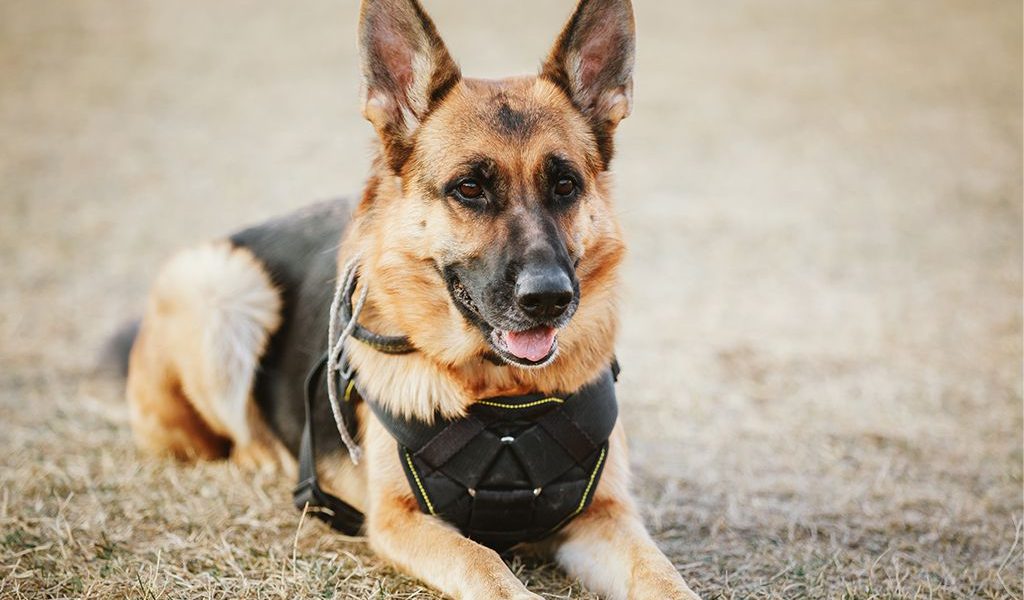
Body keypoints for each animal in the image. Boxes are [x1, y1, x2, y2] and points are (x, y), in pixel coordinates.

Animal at [121, 0, 704, 593]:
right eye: (469, 188)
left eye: (565, 185)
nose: (549, 299)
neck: (504, 396)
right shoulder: (399, 520)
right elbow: (482, 561)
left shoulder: (605, 515)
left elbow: (660, 573)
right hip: (219, 282)